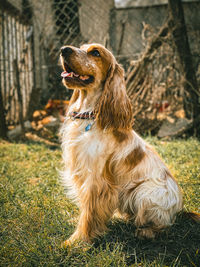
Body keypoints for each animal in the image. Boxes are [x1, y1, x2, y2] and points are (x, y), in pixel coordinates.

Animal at [58, 44, 184, 247]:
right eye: (81, 47)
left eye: (95, 52)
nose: (64, 49)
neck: (89, 115)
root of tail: (179, 207)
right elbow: (86, 209)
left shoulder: (96, 180)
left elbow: (89, 213)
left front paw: (78, 241)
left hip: (144, 193)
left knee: (162, 225)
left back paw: (146, 232)